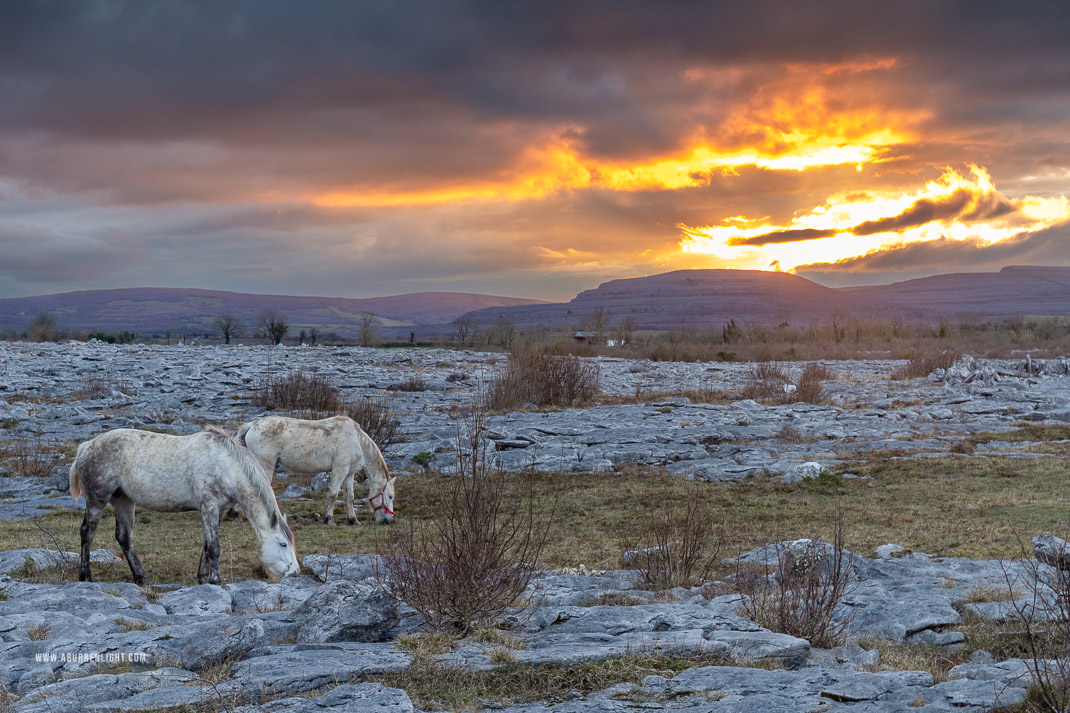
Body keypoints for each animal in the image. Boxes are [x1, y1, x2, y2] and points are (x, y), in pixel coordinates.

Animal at [70, 421, 297, 582]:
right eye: (283, 544)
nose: (294, 572)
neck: (226, 465)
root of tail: (86, 447)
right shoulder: (208, 506)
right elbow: (214, 546)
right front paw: (215, 580)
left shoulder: (218, 510)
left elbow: (206, 544)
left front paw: (203, 577)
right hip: (97, 500)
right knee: (87, 533)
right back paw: (86, 576)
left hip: (123, 500)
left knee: (124, 537)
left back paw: (141, 577)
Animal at [238, 413, 398, 524]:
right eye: (390, 496)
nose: (388, 520)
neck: (357, 440)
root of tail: (251, 425)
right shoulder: (339, 469)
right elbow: (333, 494)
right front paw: (329, 519)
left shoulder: (349, 473)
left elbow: (349, 497)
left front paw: (353, 520)